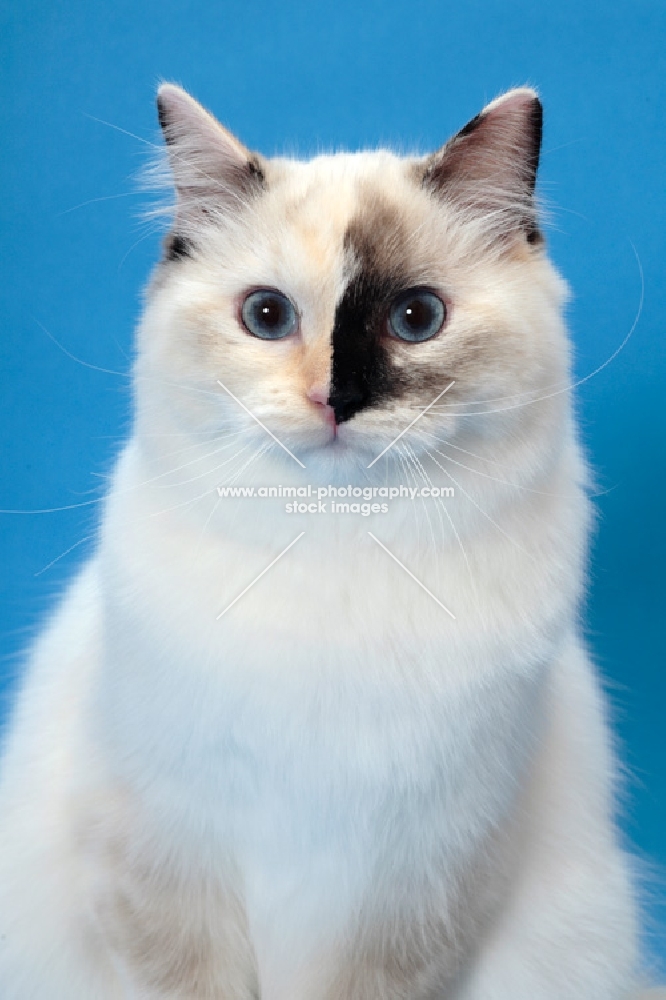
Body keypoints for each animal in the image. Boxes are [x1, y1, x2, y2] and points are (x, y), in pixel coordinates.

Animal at [0, 86, 652, 1000]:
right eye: (267, 316)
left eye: (416, 318)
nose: (334, 400)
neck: (335, 552)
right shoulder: (165, 856)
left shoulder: (413, 886)